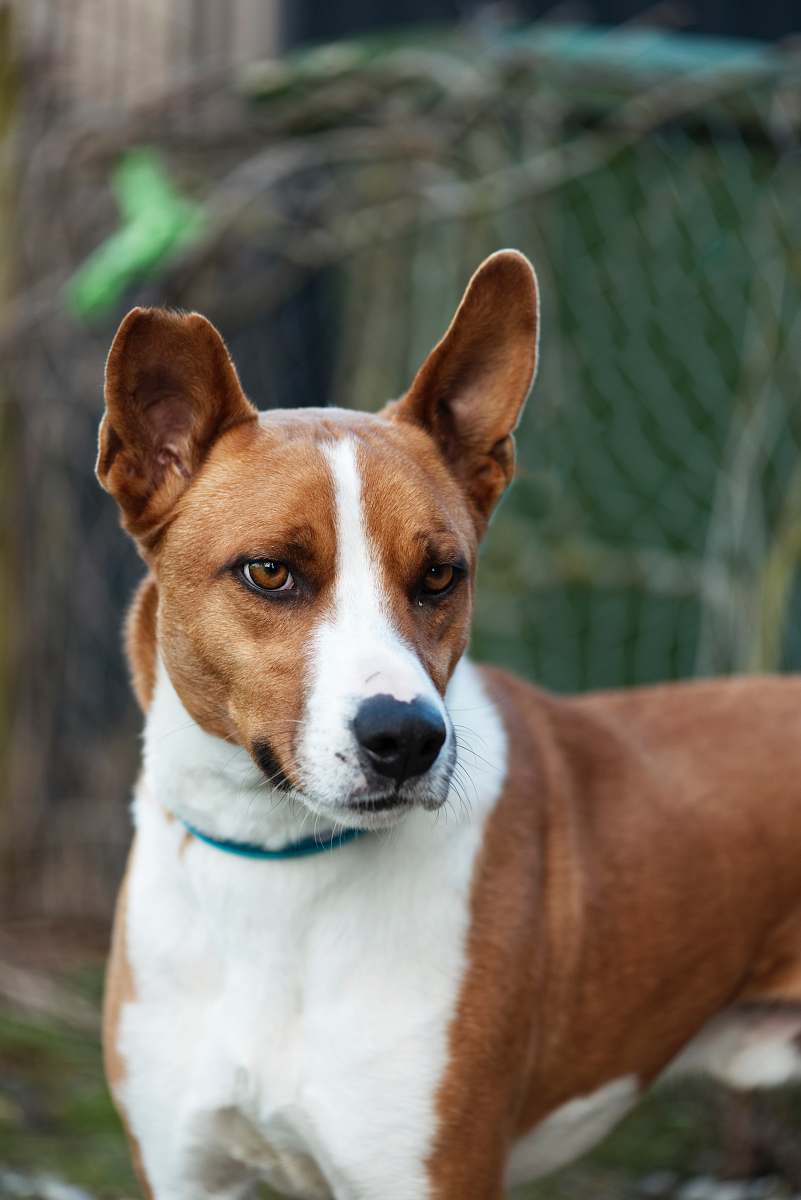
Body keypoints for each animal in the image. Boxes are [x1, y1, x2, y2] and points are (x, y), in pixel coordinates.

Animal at [98, 248, 801, 1195]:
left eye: (440, 575)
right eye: (269, 572)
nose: (406, 739)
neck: (276, 872)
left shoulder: (431, 1172)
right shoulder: (184, 1170)